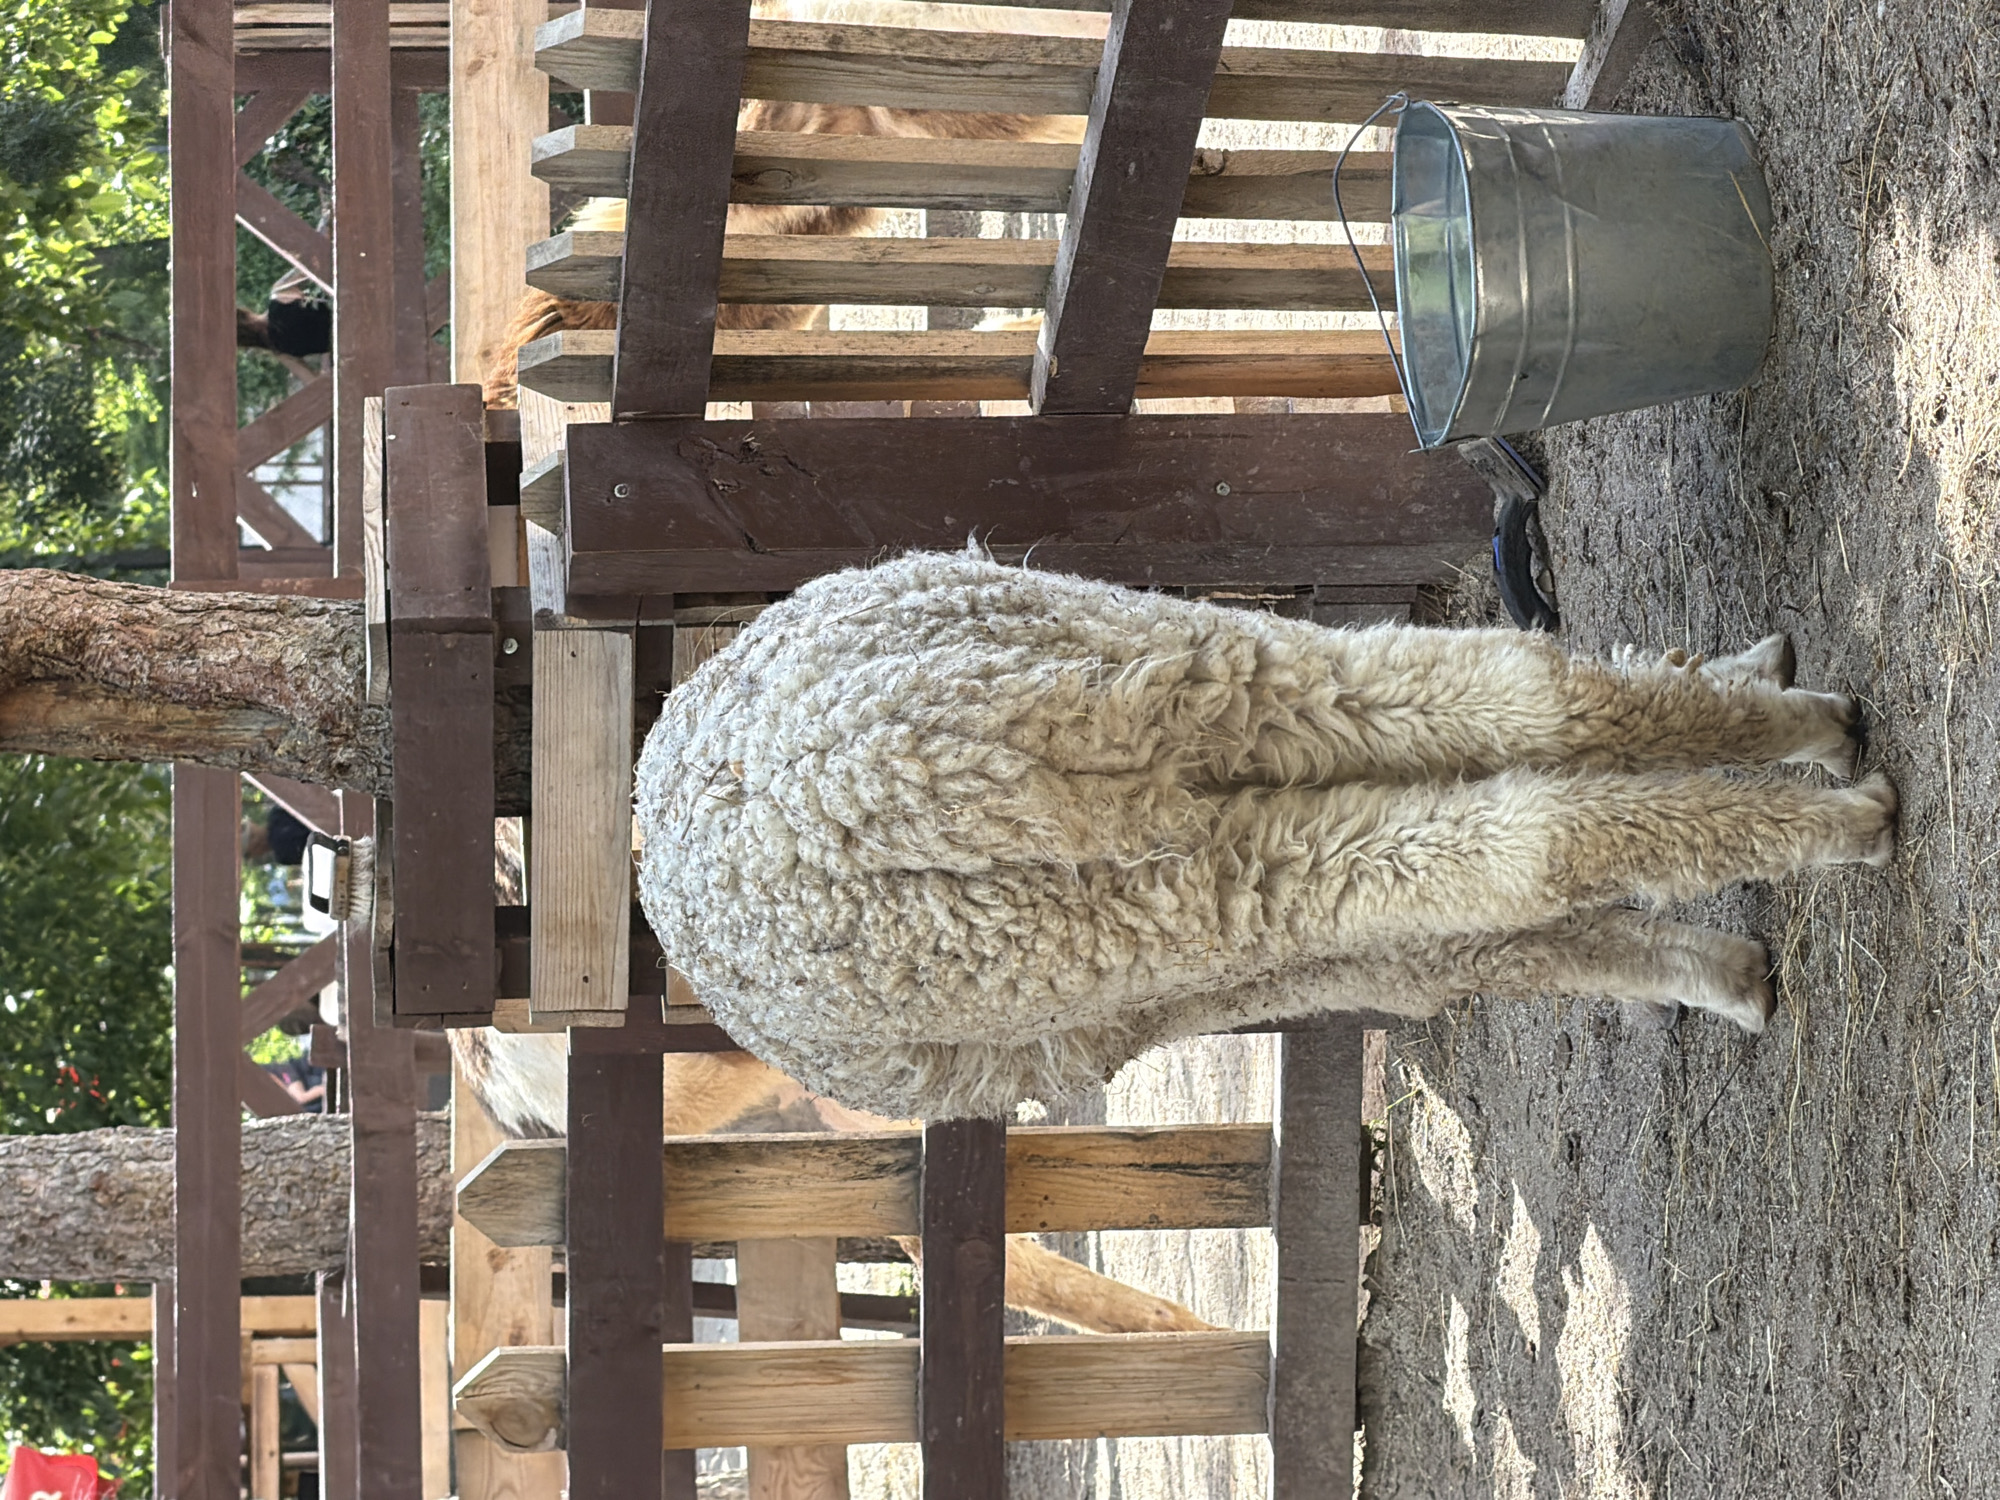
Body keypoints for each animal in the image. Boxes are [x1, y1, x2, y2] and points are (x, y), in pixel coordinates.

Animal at [635, 547, 1897, 1122]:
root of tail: (850, 782)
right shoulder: (1302, 958)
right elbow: (1501, 947)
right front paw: (1724, 971)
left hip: (1175, 755)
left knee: (1518, 731)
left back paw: (1824, 759)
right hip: (1192, 850)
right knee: (1514, 785)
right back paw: (1838, 791)